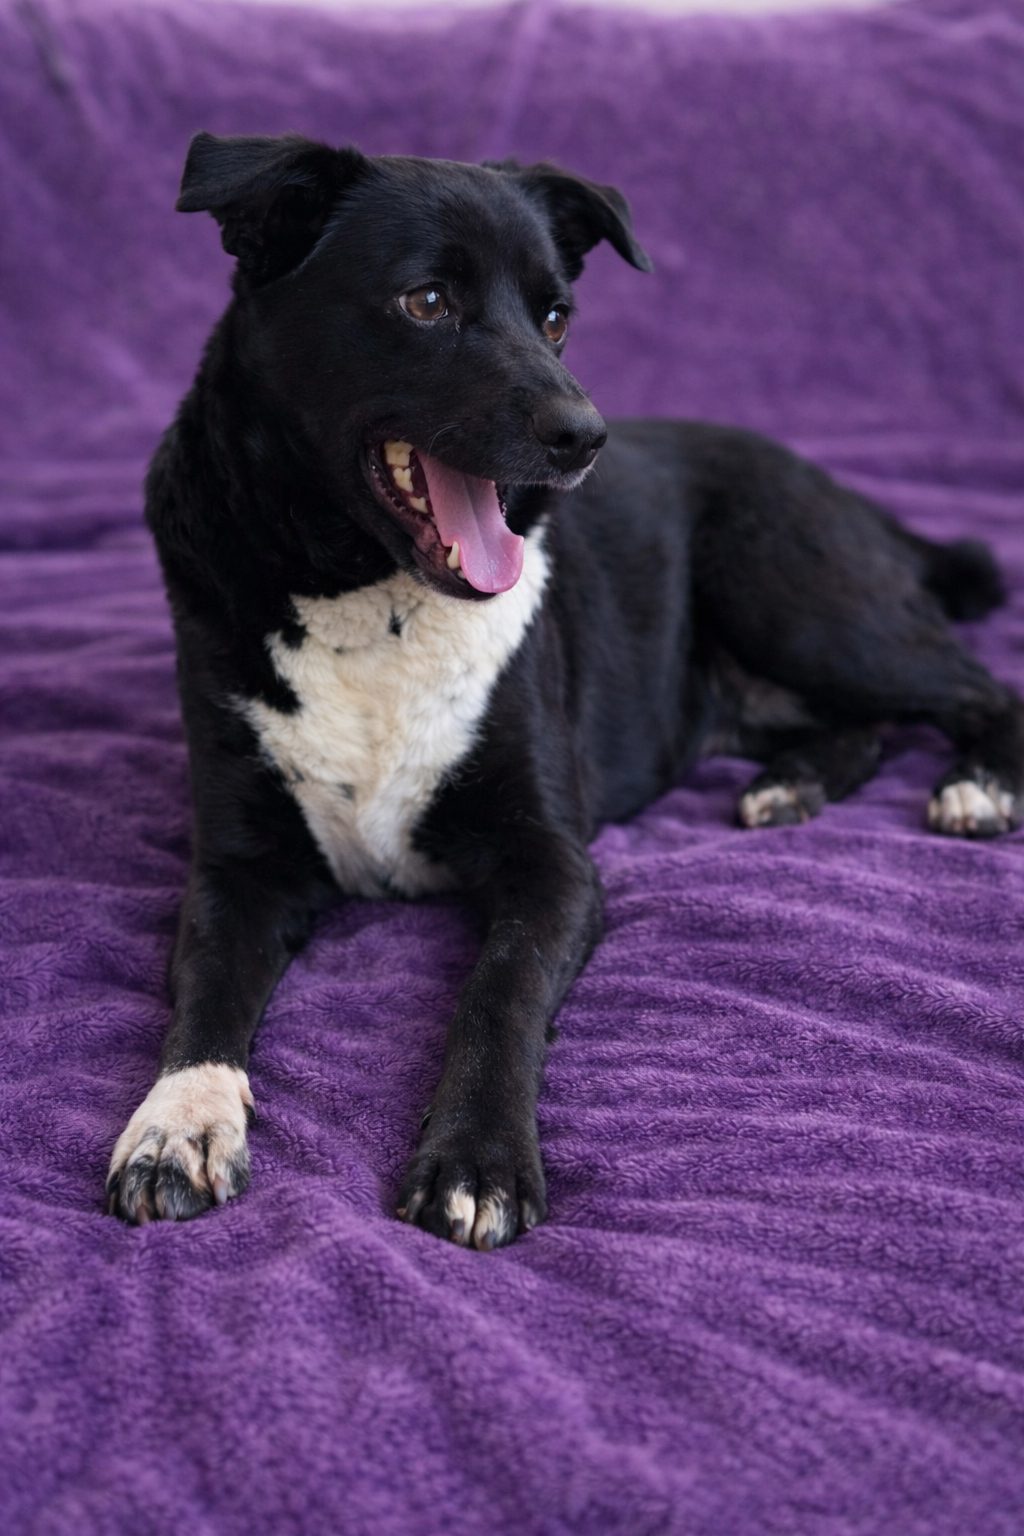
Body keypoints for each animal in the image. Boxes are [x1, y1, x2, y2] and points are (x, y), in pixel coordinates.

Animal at [106, 133, 1023, 1248]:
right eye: (425, 302)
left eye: (555, 318)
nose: (586, 437)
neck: (368, 596)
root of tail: (844, 489)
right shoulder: (239, 863)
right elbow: (204, 993)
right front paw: (176, 1125)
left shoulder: (552, 862)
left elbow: (498, 991)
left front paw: (478, 1161)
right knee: (868, 727)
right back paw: (792, 783)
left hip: (798, 597)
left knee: (977, 688)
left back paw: (978, 785)